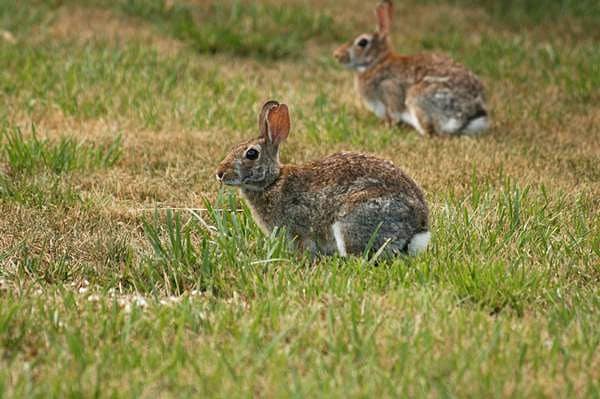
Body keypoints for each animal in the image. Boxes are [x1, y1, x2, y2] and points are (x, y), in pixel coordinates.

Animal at [216, 99, 432, 256]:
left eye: (251, 154)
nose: (219, 173)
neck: (272, 182)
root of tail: (418, 227)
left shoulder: (298, 228)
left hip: (353, 221)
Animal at [336, 0, 490, 137]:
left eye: (362, 42)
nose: (337, 55)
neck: (377, 62)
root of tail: (469, 114)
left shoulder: (389, 88)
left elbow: (394, 113)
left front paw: (388, 127)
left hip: (417, 99)